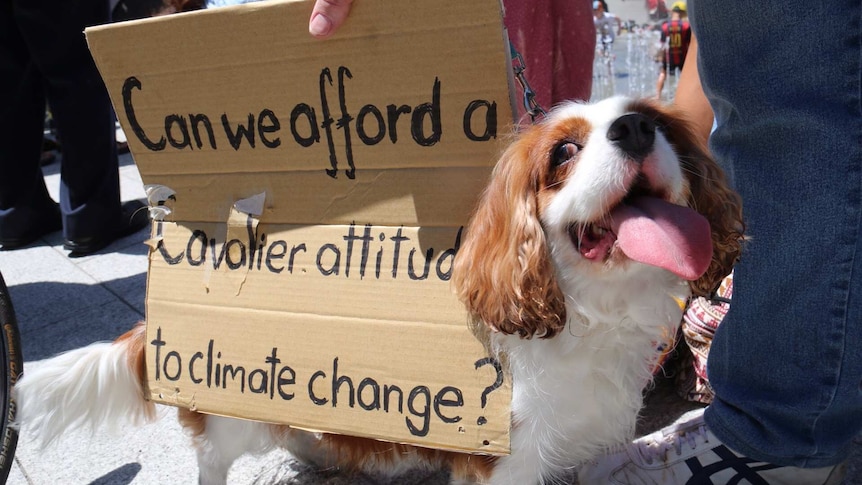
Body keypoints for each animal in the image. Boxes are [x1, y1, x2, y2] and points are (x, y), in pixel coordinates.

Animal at [11, 95, 744, 484]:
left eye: (654, 121)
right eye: (563, 152)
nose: (636, 128)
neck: (585, 311)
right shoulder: (503, 460)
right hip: (227, 415)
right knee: (213, 459)